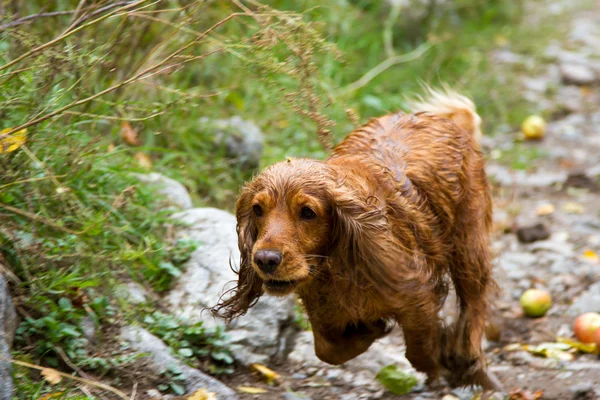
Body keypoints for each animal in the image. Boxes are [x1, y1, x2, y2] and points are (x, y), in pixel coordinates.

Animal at [213, 88, 500, 390]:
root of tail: (445, 120)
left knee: (474, 301)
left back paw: (469, 360)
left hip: (468, 247)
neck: (340, 259)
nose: (265, 260)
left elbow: (420, 349)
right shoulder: (321, 308)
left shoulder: (418, 294)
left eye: (308, 212)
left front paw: (442, 361)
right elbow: (327, 349)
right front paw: (369, 330)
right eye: (258, 209)